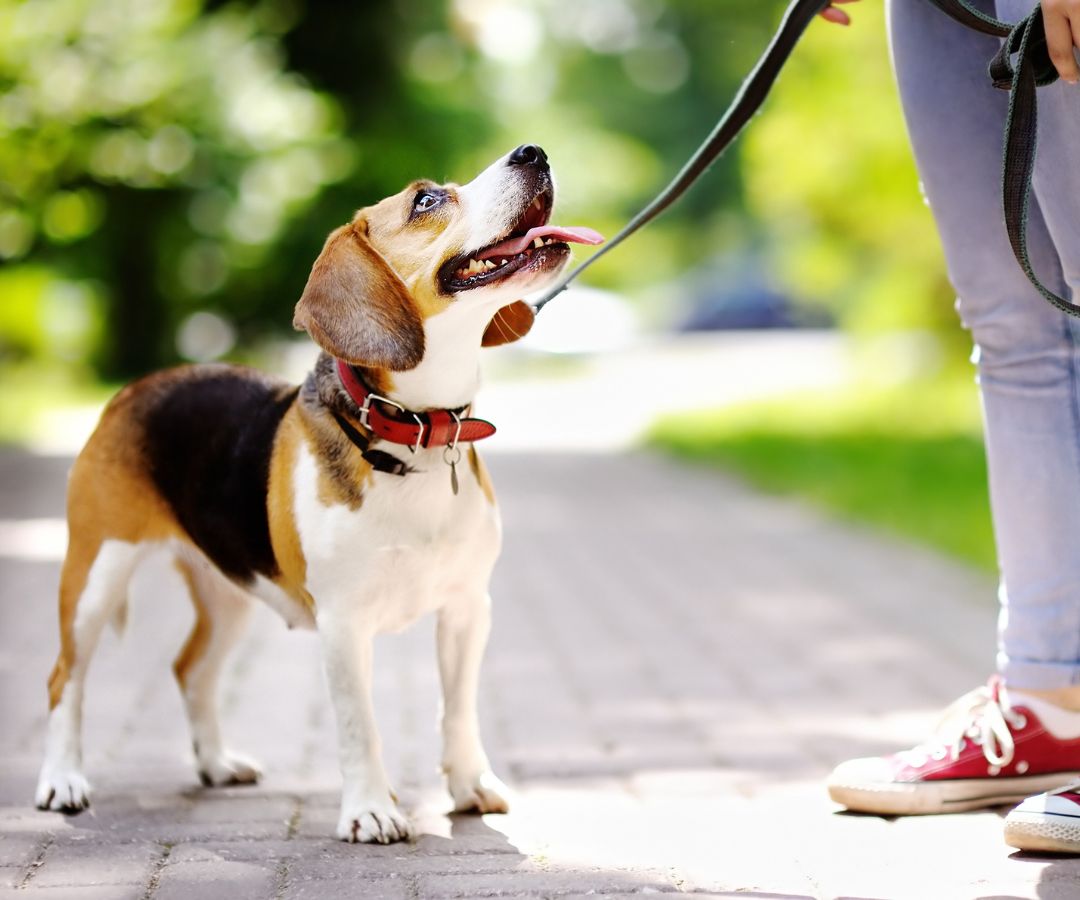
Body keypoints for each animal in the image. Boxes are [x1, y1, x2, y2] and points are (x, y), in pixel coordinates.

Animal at [33, 145, 604, 842]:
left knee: (191, 671)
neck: (413, 433)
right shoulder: (343, 623)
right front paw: (371, 810)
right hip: (95, 575)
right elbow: (361, 726)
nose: (533, 152)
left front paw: (470, 784)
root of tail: (136, 388)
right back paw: (62, 781)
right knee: (65, 678)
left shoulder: (468, 608)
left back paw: (216, 763)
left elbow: (458, 709)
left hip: (230, 591)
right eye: (426, 201)